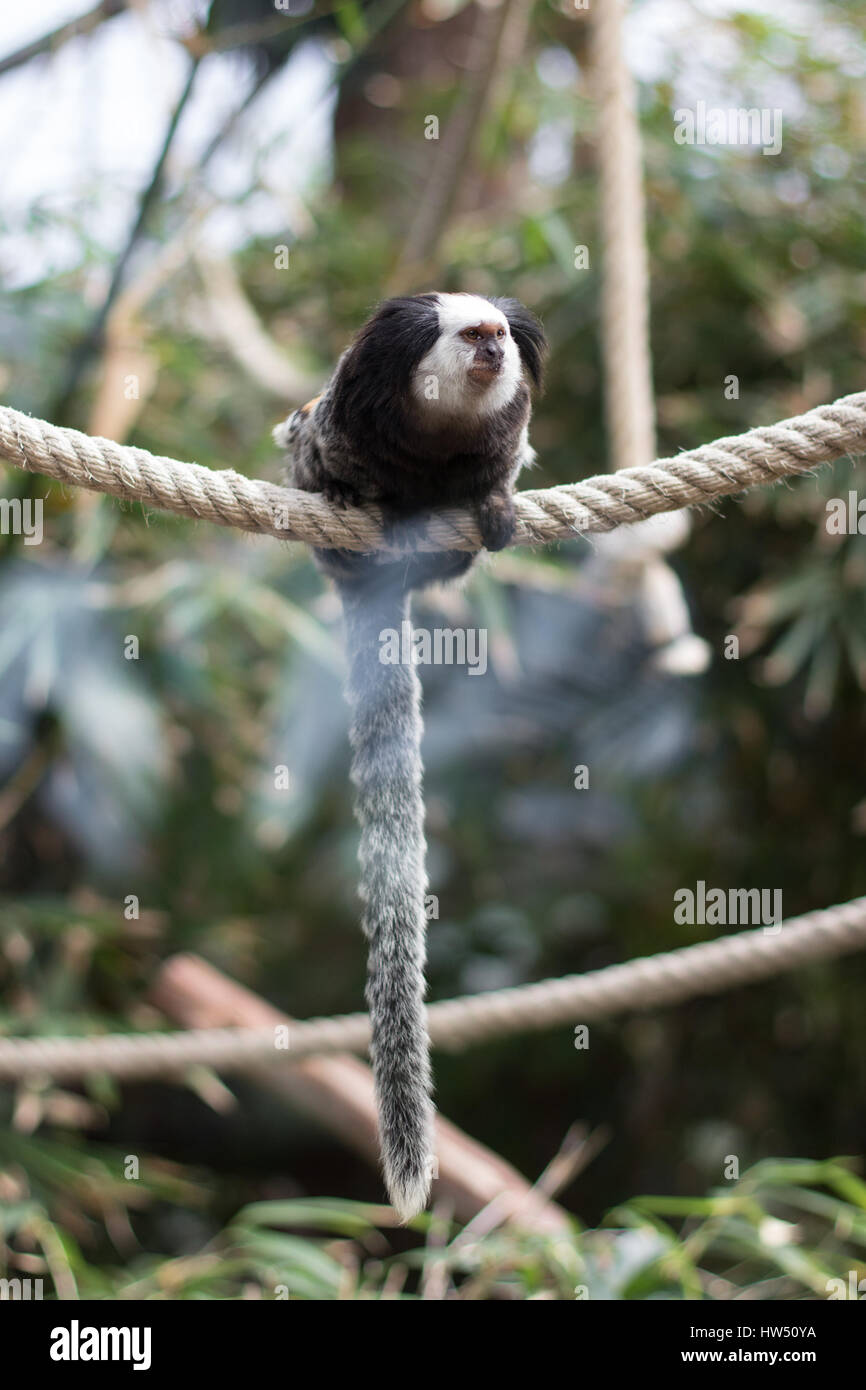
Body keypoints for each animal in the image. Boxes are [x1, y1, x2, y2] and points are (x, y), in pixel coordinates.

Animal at [274, 292, 546, 1220]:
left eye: (500, 335)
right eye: (471, 336)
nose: (494, 351)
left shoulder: (504, 437)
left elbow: (503, 469)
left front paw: (493, 503)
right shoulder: (343, 417)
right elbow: (309, 437)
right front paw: (350, 489)